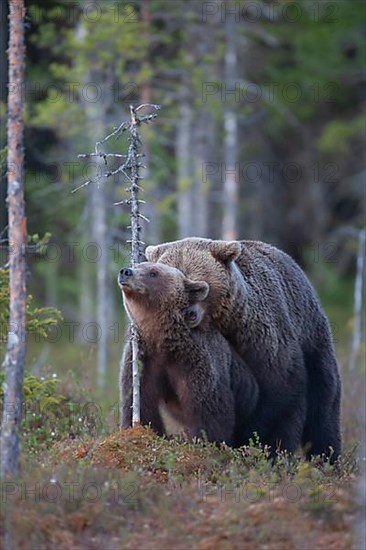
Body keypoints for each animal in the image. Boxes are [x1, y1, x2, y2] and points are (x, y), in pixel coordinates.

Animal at [118, 260, 258, 446]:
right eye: (138, 265)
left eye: (153, 272)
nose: (125, 271)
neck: (164, 341)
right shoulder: (144, 358)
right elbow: (140, 400)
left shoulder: (195, 361)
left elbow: (209, 410)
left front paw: (206, 441)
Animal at [145, 239, 344, 464]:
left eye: (198, 285)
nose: (187, 313)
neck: (227, 322)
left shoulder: (262, 337)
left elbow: (280, 389)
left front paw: (261, 443)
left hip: (314, 343)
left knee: (323, 410)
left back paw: (325, 459)